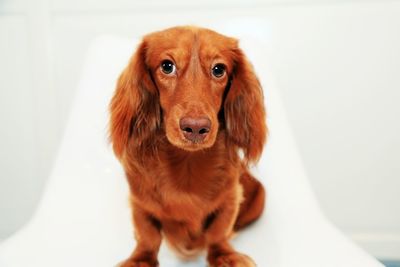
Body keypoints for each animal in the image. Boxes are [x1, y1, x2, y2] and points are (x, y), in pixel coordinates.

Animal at [108, 25, 268, 267]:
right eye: (167, 66)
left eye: (219, 69)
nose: (195, 127)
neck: (187, 165)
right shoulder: (139, 203)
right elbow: (148, 235)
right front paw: (140, 259)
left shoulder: (230, 197)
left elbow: (218, 231)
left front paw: (224, 255)